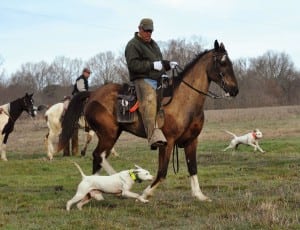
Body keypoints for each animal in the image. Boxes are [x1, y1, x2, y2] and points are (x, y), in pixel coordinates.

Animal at [58, 40, 239, 201]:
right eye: (222, 62)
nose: (235, 90)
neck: (184, 100)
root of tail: (93, 94)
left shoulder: (191, 140)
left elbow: (192, 167)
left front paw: (199, 195)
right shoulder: (167, 142)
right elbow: (162, 172)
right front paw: (144, 194)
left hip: (111, 135)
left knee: (99, 157)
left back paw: (98, 190)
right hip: (108, 134)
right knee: (98, 155)